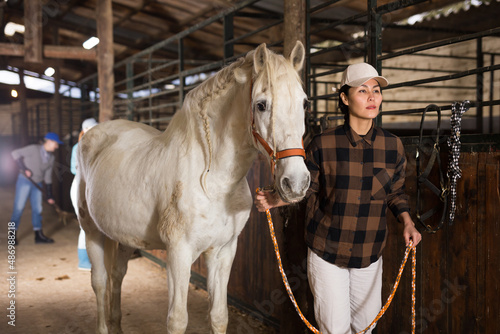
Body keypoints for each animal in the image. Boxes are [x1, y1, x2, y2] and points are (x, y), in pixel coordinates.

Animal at [72, 41, 310, 334]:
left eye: (304, 103)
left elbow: (219, 316)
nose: (296, 183)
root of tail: (91, 135)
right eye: (261, 105)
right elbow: (177, 319)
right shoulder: (179, 254)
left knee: (117, 276)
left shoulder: (223, 251)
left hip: (125, 236)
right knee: (100, 282)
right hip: (91, 231)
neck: (212, 181)